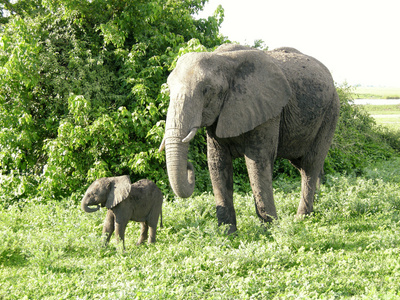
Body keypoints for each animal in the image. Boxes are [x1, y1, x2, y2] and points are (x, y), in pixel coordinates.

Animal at [158, 43, 340, 233]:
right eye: (168, 89)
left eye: (206, 90)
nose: (189, 166)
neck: (222, 59)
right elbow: (217, 162)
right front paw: (228, 233)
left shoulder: (268, 111)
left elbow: (257, 162)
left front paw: (270, 231)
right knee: (302, 165)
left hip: (331, 112)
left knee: (310, 164)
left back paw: (302, 219)